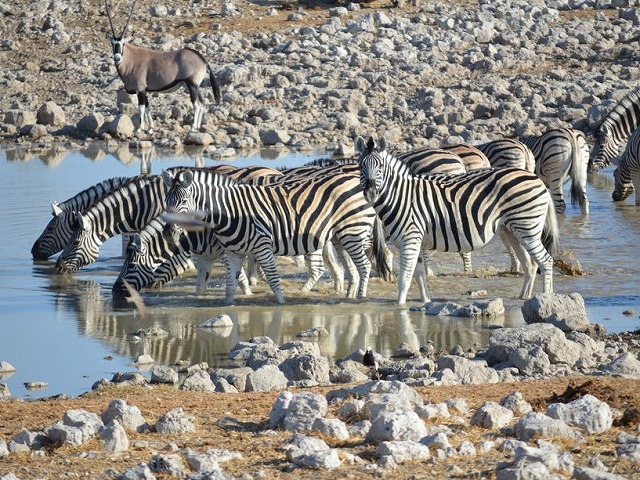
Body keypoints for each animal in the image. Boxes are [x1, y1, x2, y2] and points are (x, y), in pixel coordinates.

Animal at [106, 0, 221, 132]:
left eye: (123, 43)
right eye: (112, 43)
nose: (117, 58)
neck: (132, 59)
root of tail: (202, 59)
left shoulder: (140, 90)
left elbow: (141, 108)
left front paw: (140, 129)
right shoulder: (145, 91)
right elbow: (147, 108)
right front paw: (150, 128)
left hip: (191, 85)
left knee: (196, 104)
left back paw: (192, 127)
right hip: (194, 86)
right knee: (202, 103)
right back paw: (197, 126)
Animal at [161, 168, 380, 304]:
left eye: (184, 201)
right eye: (167, 201)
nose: (168, 233)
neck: (229, 212)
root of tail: (357, 181)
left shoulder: (262, 246)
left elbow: (273, 279)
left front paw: (281, 304)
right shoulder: (233, 252)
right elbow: (231, 284)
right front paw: (227, 305)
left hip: (353, 231)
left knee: (364, 266)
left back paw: (361, 298)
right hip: (340, 236)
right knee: (353, 269)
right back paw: (350, 296)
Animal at [358, 135, 556, 306]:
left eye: (380, 166)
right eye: (361, 167)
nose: (371, 194)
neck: (401, 197)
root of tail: (538, 180)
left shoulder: (410, 239)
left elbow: (405, 278)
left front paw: (399, 307)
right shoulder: (416, 242)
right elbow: (420, 276)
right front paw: (425, 302)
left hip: (527, 228)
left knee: (546, 261)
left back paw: (545, 298)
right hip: (513, 230)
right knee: (530, 265)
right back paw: (523, 297)